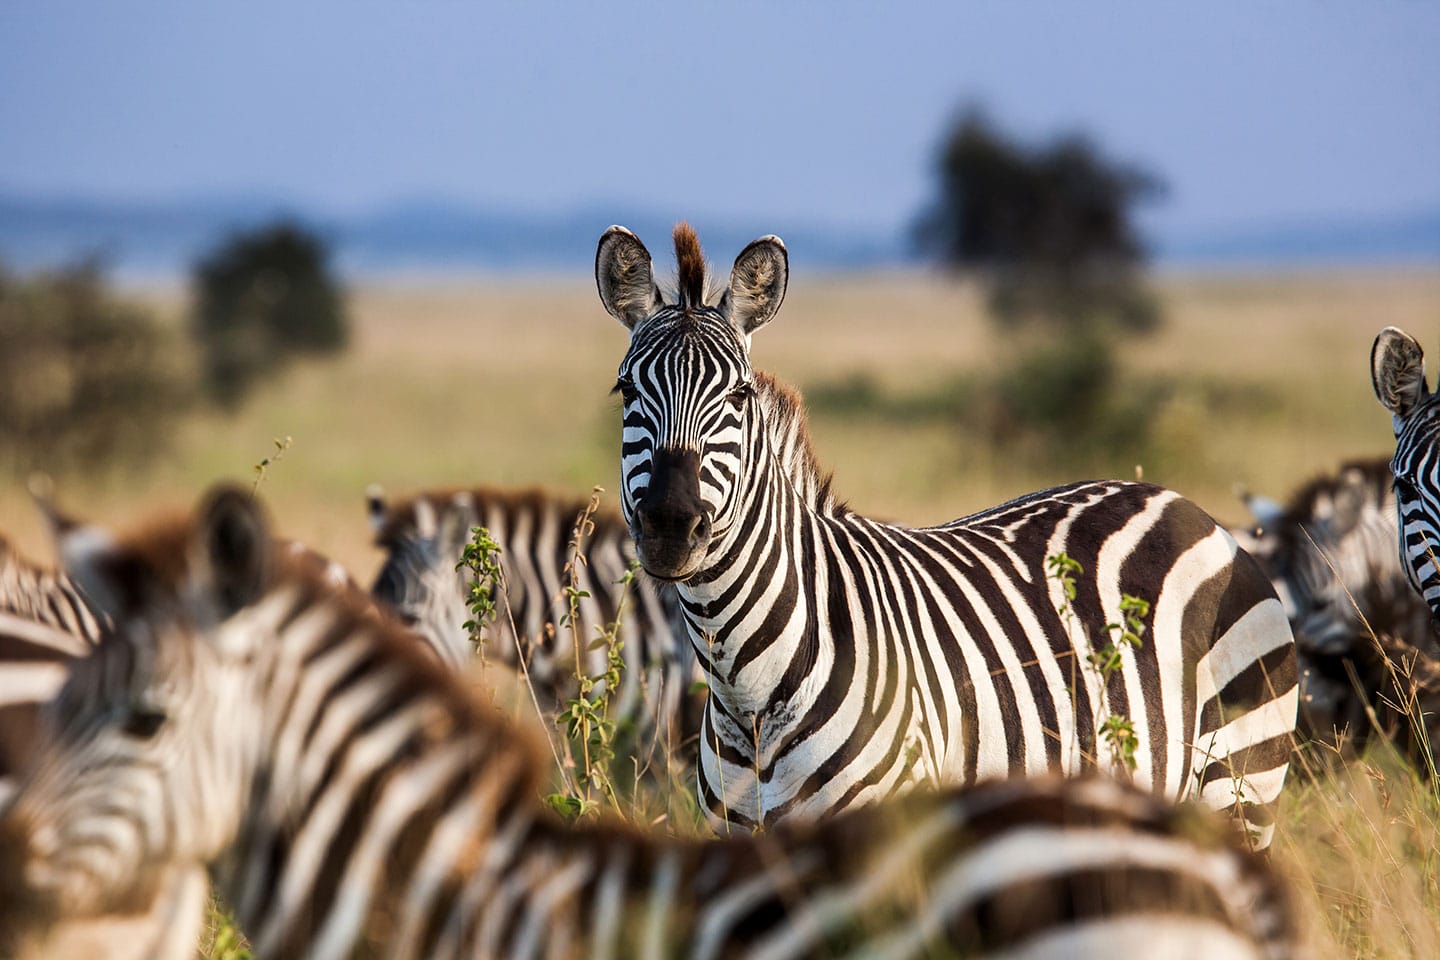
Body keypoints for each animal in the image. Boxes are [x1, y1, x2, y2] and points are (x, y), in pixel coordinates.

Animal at [595, 223, 1299, 844]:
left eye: (738, 396)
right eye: (626, 391)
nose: (671, 526)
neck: (747, 690)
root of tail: (1180, 503)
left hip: (1240, 784)